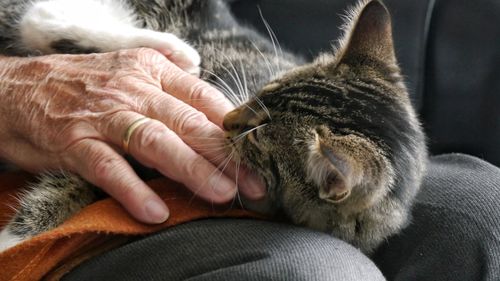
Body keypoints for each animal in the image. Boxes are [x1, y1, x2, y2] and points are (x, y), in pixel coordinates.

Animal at [0, 0, 426, 254]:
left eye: (257, 140)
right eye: (261, 91)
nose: (226, 120)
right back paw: (174, 49)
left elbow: (70, 184)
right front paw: (12, 243)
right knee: (44, 18)